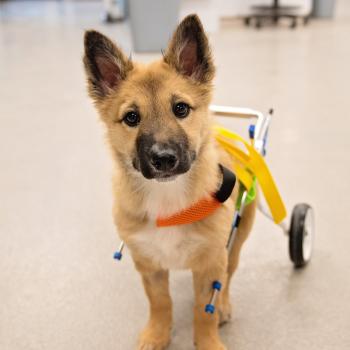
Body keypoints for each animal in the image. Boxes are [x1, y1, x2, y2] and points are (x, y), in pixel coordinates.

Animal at [83, 14, 256, 350]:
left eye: (181, 109)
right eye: (131, 117)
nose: (163, 159)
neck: (167, 195)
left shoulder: (211, 261)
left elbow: (204, 310)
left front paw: (208, 341)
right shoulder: (148, 263)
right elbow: (160, 303)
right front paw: (157, 334)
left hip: (236, 239)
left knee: (229, 275)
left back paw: (224, 305)